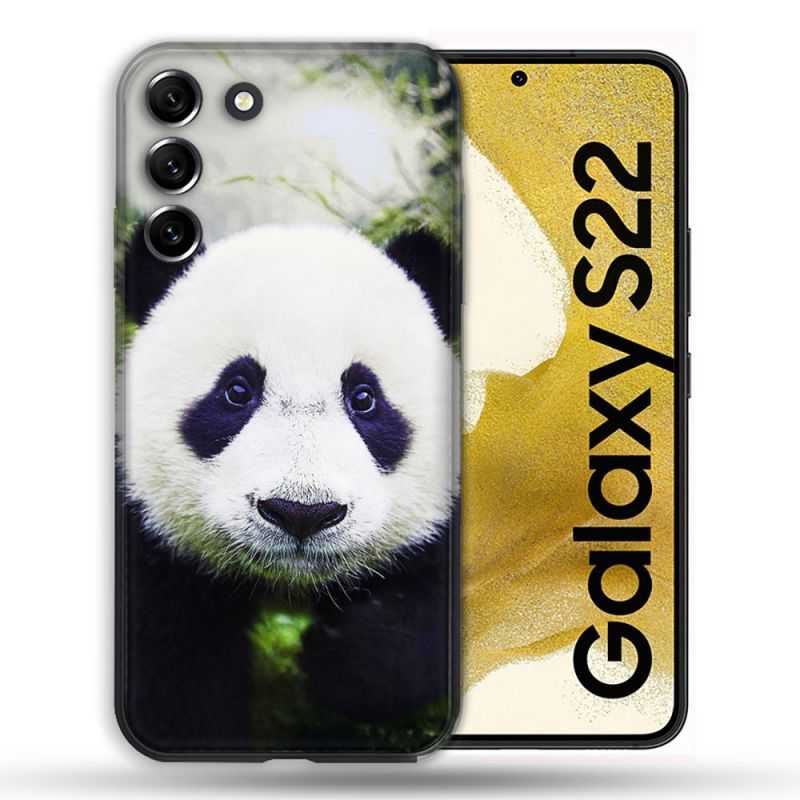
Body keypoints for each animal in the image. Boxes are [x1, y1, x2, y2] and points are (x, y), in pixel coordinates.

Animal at [119, 221, 456, 751]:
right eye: (237, 390)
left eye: (364, 397)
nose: (302, 512)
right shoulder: (156, 548)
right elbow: (176, 674)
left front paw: (338, 660)